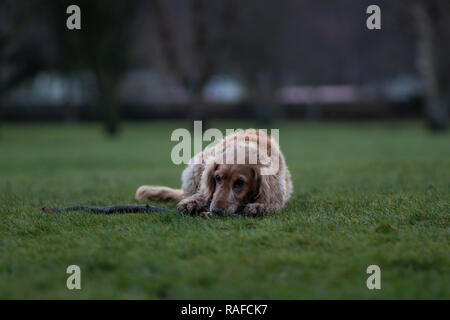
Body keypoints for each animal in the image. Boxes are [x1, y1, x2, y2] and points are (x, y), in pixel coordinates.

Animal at [135, 129, 294, 216]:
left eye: (239, 182)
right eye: (217, 178)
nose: (216, 210)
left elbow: (272, 202)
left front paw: (260, 206)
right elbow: (203, 195)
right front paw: (191, 203)